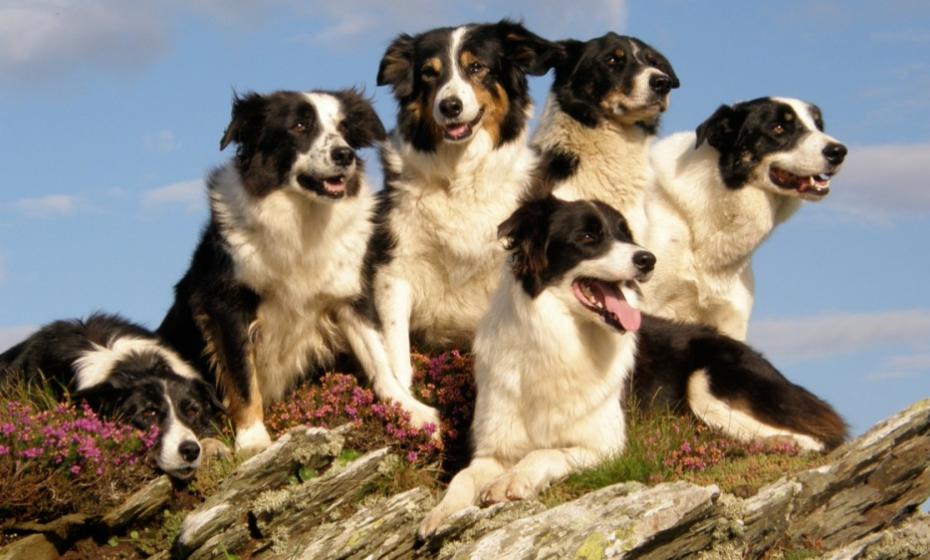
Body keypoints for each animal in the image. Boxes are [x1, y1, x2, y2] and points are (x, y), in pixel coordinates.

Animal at [157, 88, 424, 456]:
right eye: (299, 126)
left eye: (344, 127)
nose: (344, 155)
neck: (303, 218)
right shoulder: (226, 304)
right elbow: (242, 376)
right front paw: (253, 439)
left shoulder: (349, 294)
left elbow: (378, 355)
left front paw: (414, 412)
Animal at [372, 20, 560, 420]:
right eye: (430, 74)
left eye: (477, 67)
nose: (450, 106)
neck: (460, 178)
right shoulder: (394, 269)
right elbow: (396, 354)